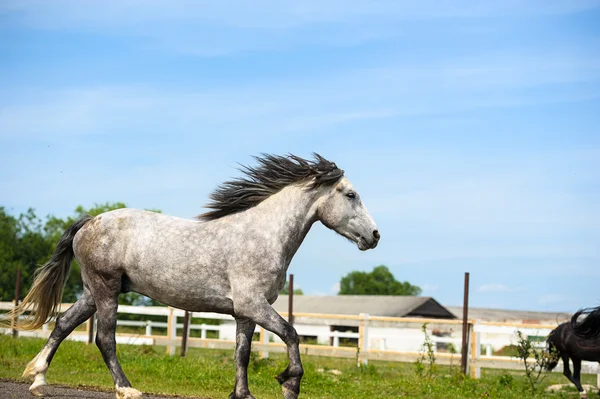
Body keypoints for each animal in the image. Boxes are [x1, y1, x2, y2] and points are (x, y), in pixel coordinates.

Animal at [9, 155, 380, 399]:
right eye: (351, 195)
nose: (375, 236)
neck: (261, 235)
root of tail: (89, 222)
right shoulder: (254, 305)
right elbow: (291, 334)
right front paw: (289, 383)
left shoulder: (245, 312)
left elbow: (242, 353)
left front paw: (242, 394)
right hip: (106, 290)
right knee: (105, 339)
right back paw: (127, 389)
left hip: (92, 292)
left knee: (63, 324)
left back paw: (38, 380)